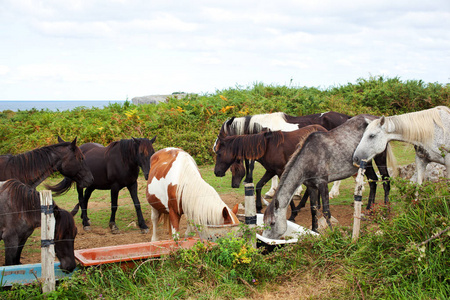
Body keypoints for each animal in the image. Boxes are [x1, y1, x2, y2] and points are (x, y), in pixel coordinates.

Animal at [214, 110, 352, 197]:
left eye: (223, 135)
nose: (214, 147)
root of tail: (347, 118)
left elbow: (275, 176)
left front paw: (272, 191)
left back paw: (333, 192)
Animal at [262, 115, 396, 239]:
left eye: (272, 223)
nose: (264, 239)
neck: (309, 157)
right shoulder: (311, 186)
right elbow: (314, 210)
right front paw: (315, 231)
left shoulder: (322, 183)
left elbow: (326, 211)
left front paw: (332, 234)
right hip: (366, 163)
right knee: (373, 181)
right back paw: (369, 210)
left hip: (379, 158)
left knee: (386, 181)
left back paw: (386, 211)